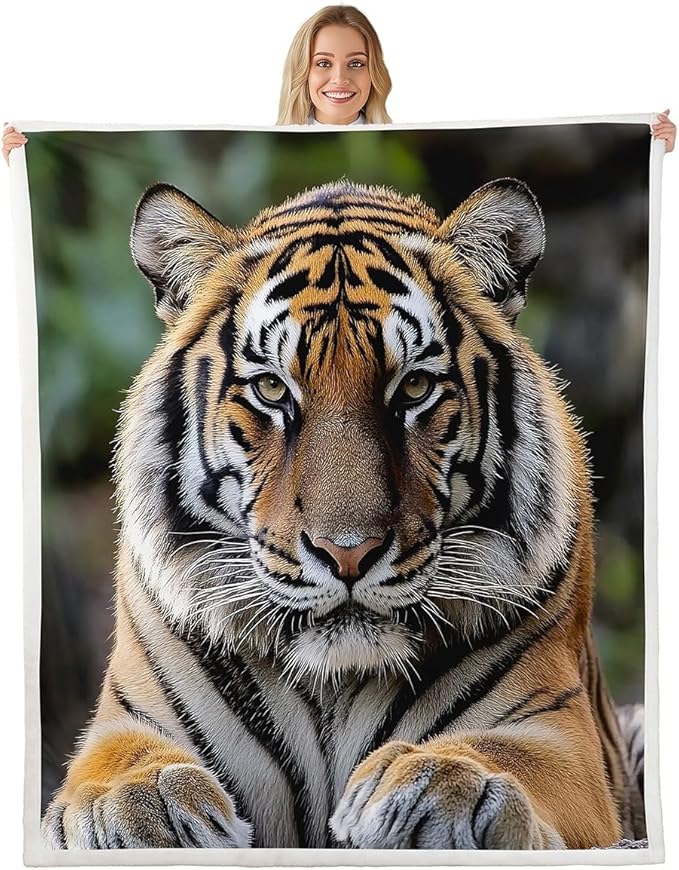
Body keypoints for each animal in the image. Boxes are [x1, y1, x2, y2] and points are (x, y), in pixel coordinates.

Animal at [41, 176, 645, 850]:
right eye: (272, 389)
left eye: (413, 388)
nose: (347, 554)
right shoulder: (133, 718)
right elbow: (114, 765)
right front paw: (137, 806)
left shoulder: (555, 734)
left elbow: (502, 755)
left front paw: (442, 785)